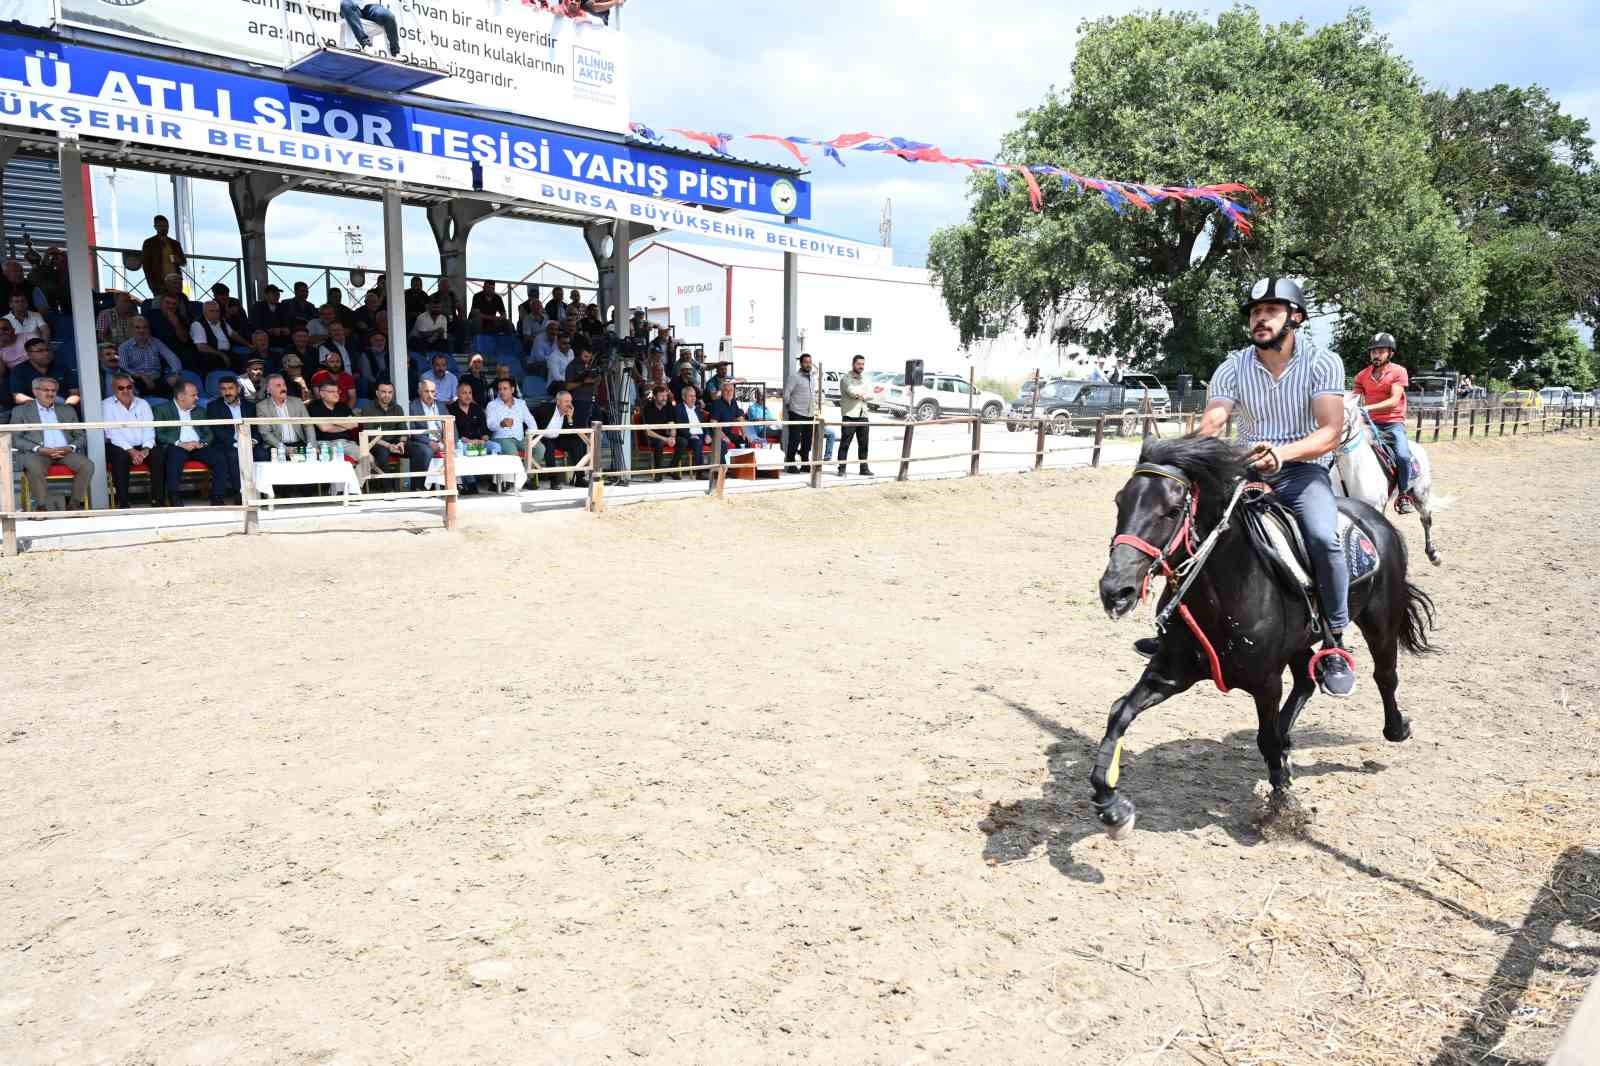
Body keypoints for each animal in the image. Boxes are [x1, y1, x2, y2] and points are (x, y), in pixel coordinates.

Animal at [1094, 435, 1433, 832]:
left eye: (1173, 509)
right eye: (1120, 501)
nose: (1116, 591)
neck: (1227, 591)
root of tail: (1375, 520)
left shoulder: (1266, 682)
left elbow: (1265, 739)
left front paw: (1283, 807)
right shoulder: (1170, 673)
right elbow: (1119, 712)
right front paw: (1111, 805)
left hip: (1379, 620)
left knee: (1384, 675)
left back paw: (1395, 727)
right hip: (1302, 642)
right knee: (1306, 680)